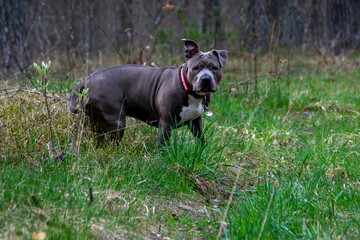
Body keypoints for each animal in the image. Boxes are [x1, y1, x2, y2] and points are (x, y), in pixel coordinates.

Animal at [68, 39, 226, 144]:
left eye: (214, 68)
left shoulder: (196, 123)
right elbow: (163, 146)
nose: (206, 78)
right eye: (196, 68)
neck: (186, 87)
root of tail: (87, 79)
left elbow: (201, 141)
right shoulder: (165, 124)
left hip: (95, 121)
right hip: (116, 121)